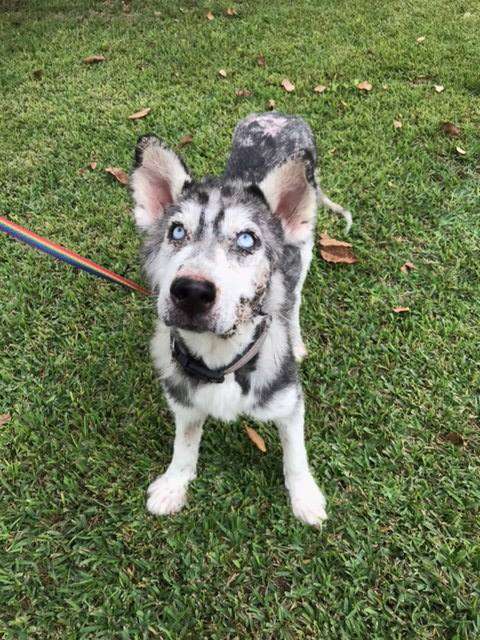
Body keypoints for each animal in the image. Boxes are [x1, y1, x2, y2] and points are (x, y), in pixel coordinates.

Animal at [129, 112, 350, 528]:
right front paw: (174, 484)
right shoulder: (184, 398)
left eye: (247, 239)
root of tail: (280, 115)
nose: (191, 291)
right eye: (176, 231)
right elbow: (184, 445)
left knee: (293, 299)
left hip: (304, 252)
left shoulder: (288, 401)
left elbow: (295, 454)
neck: (221, 360)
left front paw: (305, 498)